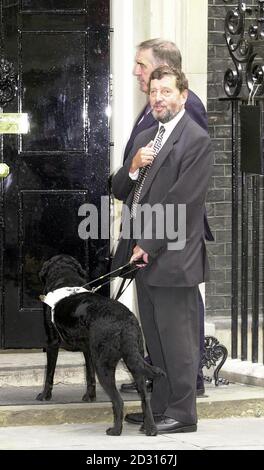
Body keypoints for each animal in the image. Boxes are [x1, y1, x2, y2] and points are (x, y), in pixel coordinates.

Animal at [38, 255, 164, 436]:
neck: (65, 279)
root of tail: (126, 322)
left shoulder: (52, 343)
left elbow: (49, 373)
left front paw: (44, 395)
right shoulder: (88, 349)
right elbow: (89, 375)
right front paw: (90, 397)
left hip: (104, 364)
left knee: (118, 401)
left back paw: (115, 430)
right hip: (135, 361)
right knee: (145, 399)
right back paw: (151, 429)